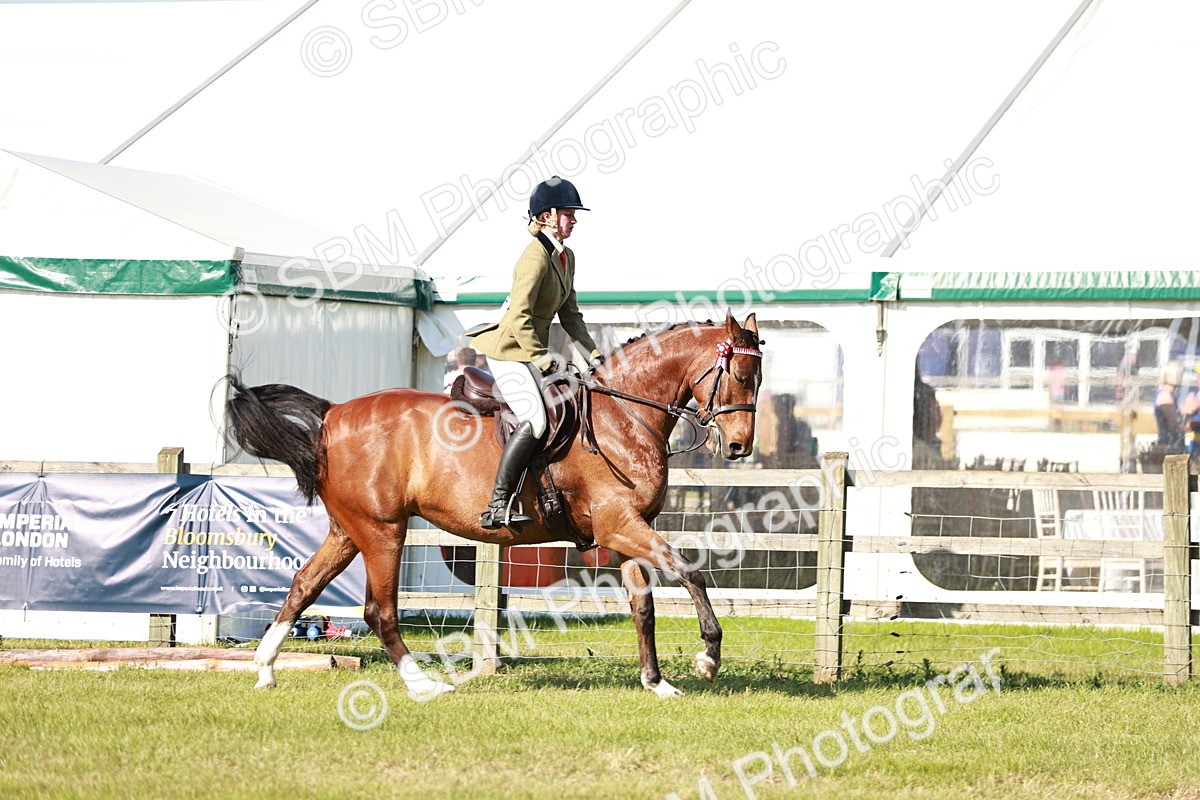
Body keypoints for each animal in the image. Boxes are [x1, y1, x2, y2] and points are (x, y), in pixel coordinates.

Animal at [226, 311, 763, 698]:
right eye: (740, 374)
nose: (739, 448)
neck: (624, 413)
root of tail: (333, 412)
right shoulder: (618, 525)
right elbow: (689, 570)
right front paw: (709, 657)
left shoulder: (629, 528)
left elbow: (643, 607)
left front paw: (657, 683)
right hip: (383, 530)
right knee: (380, 611)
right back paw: (424, 684)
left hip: (349, 529)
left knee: (304, 585)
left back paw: (265, 669)